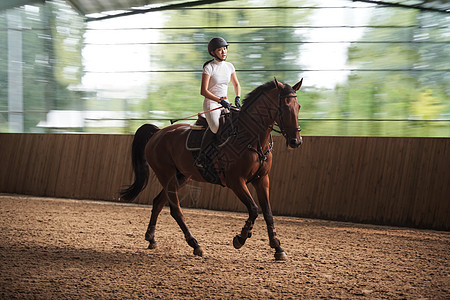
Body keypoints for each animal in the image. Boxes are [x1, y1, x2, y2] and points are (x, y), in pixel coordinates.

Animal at [119, 77, 302, 260]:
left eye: (298, 106)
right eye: (285, 106)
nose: (296, 141)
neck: (251, 139)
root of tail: (158, 133)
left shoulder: (262, 179)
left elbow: (268, 213)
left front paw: (278, 248)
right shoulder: (236, 181)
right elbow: (253, 209)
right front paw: (240, 238)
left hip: (181, 177)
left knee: (158, 202)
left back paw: (151, 238)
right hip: (167, 176)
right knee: (175, 210)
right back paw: (195, 244)